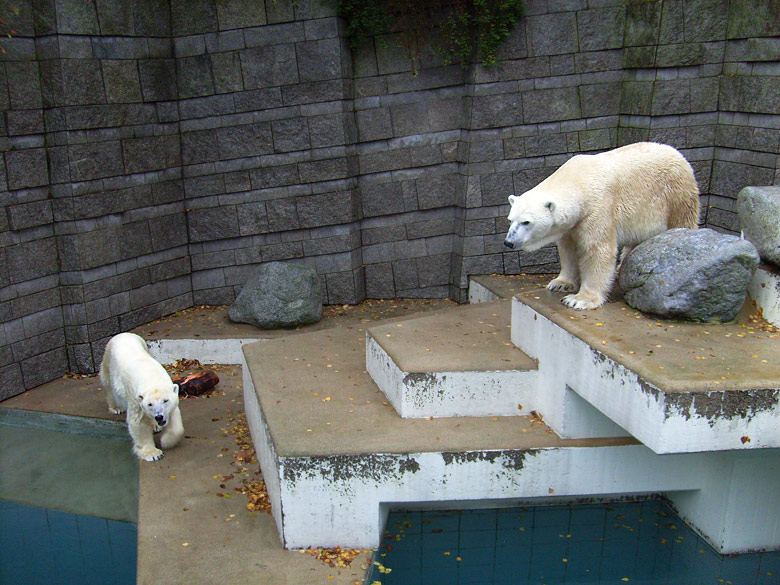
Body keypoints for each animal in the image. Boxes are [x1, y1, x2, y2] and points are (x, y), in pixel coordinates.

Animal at [506, 142, 700, 310]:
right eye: (510, 219)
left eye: (526, 222)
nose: (508, 242)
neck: (578, 179)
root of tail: (678, 153)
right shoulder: (572, 225)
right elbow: (568, 249)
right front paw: (560, 283)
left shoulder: (598, 208)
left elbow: (597, 250)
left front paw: (579, 300)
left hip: (676, 194)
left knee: (682, 220)